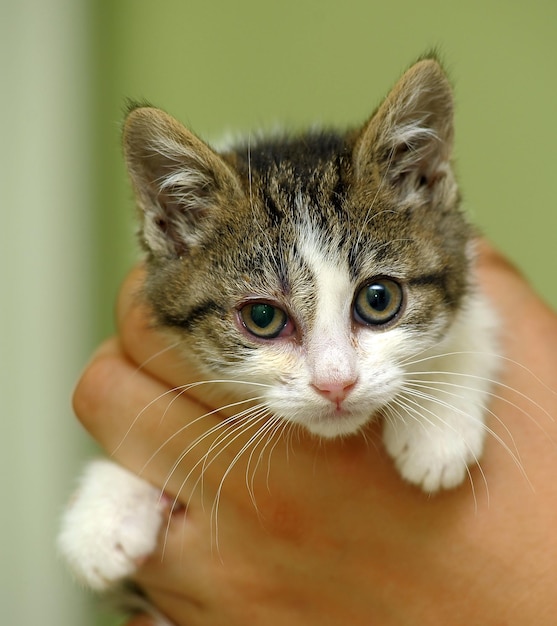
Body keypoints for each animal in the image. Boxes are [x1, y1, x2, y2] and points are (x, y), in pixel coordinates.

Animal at [58, 58, 498, 616]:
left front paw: (436, 429)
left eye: (379, 300)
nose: (336, 384)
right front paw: (102, 510)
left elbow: (476, 324)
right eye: (264, 316)